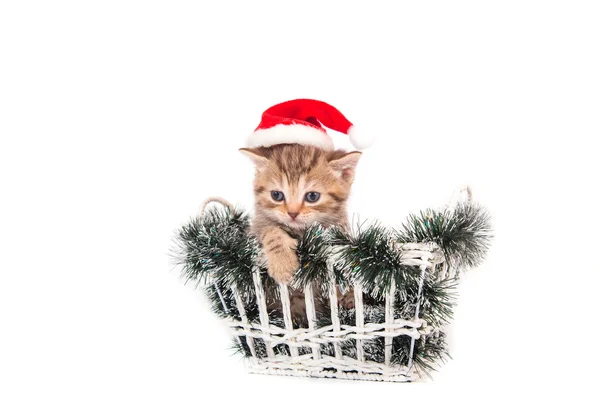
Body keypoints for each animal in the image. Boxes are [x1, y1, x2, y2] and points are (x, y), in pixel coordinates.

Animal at [239, 144, 360, 284]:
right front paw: (283, 263)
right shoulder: (256, 228)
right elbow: (270, 230)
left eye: (312, 196)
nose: (292, 213)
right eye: (276, 195)